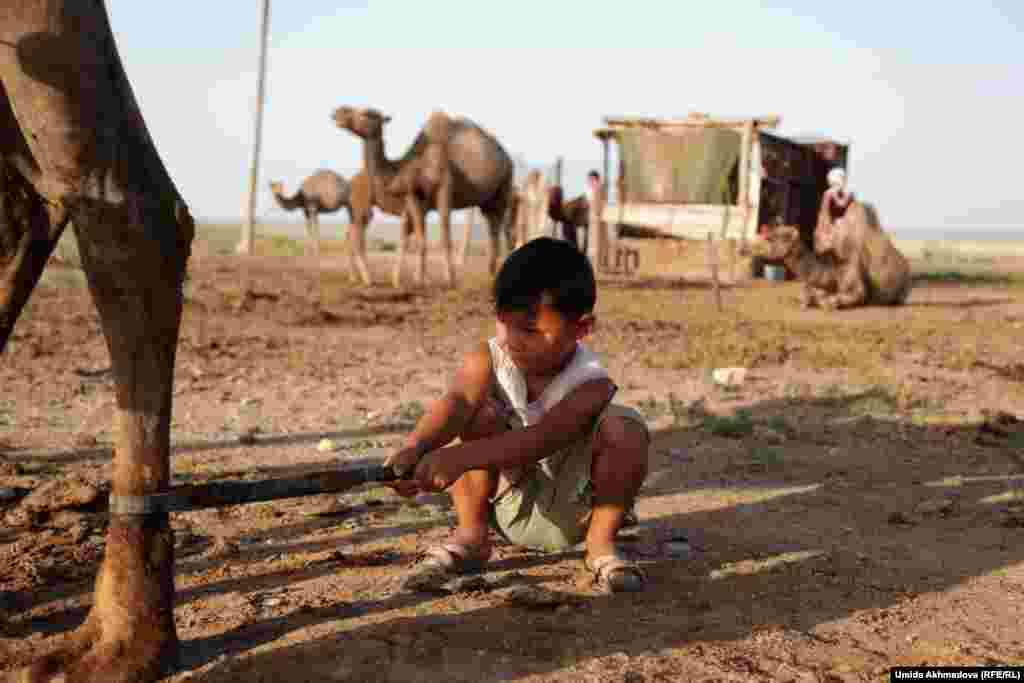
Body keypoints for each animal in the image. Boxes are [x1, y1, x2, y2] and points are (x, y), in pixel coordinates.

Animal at [333, 105, 516, 288]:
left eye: (368, 114)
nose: (338, 112)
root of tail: (506, 156)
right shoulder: (414, 196)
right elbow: (418, 237)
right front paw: (414, 279)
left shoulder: (444, 186)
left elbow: (443, 234)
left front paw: (449, 279)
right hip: (487, 200)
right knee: (493, 227)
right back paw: (491, 274)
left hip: (505, 184)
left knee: (499, 227)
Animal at [745, 222, 913, 309]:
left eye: (771, 237)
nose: (744, 247)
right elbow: (810, 295)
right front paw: (803, 300)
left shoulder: (853, 278)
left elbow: (852, 295)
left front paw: (828, 302)